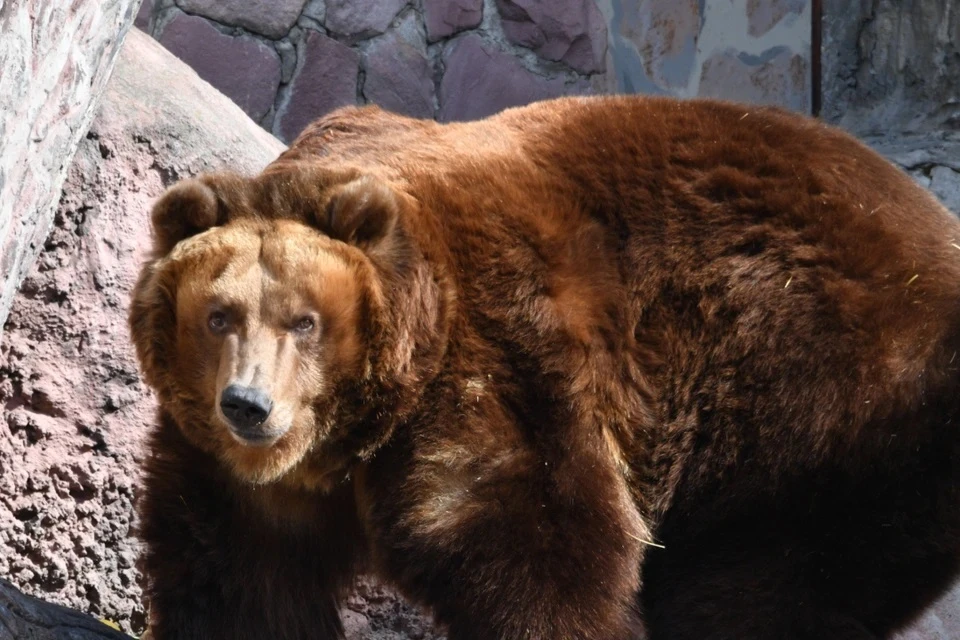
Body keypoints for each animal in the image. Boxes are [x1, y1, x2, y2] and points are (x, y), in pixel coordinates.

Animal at [131, 96, 960, 640]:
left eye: (305, 321)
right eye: (219, 315)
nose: (249, 404)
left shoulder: (498, 361)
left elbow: (543, 552)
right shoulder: (240, 480)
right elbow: (236, 577)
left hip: (824, 407)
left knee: (759, 584)